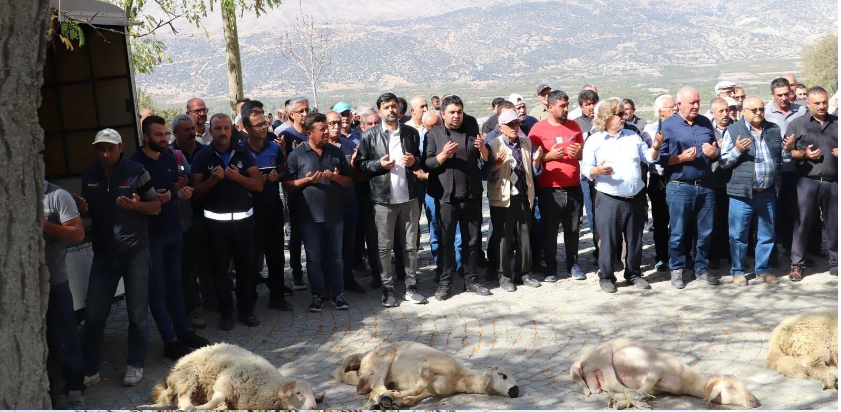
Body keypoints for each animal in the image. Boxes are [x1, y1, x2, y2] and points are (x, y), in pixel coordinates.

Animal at [138, 342, 322, 408]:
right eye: (298, 393)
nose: (314, 407)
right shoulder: (225, 382)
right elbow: (215, 400)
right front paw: (207, 407)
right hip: (188, 378)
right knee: (183, 399)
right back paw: (192, 406)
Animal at [332, 342, 516, 408]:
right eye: (502, 375)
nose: (516, 391)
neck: (459, 378)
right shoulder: (427, 369)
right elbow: (416, 389)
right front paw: (398, 396)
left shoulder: (435, 389)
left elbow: (421, 394)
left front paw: (407, 401)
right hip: (385, 357)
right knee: (376, 386)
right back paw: (386, 398)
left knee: (368, 388)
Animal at [572, 338, 756, 408]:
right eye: (730, 388)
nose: (753, 400)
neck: (685, 380)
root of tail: (580, 359)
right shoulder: (655, 371)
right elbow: (643, 388)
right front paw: (637, 400)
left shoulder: (657, 389)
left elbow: (645, 392)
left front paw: (622, 402)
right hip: (604, 358)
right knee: (613, 382)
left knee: (606, 387)